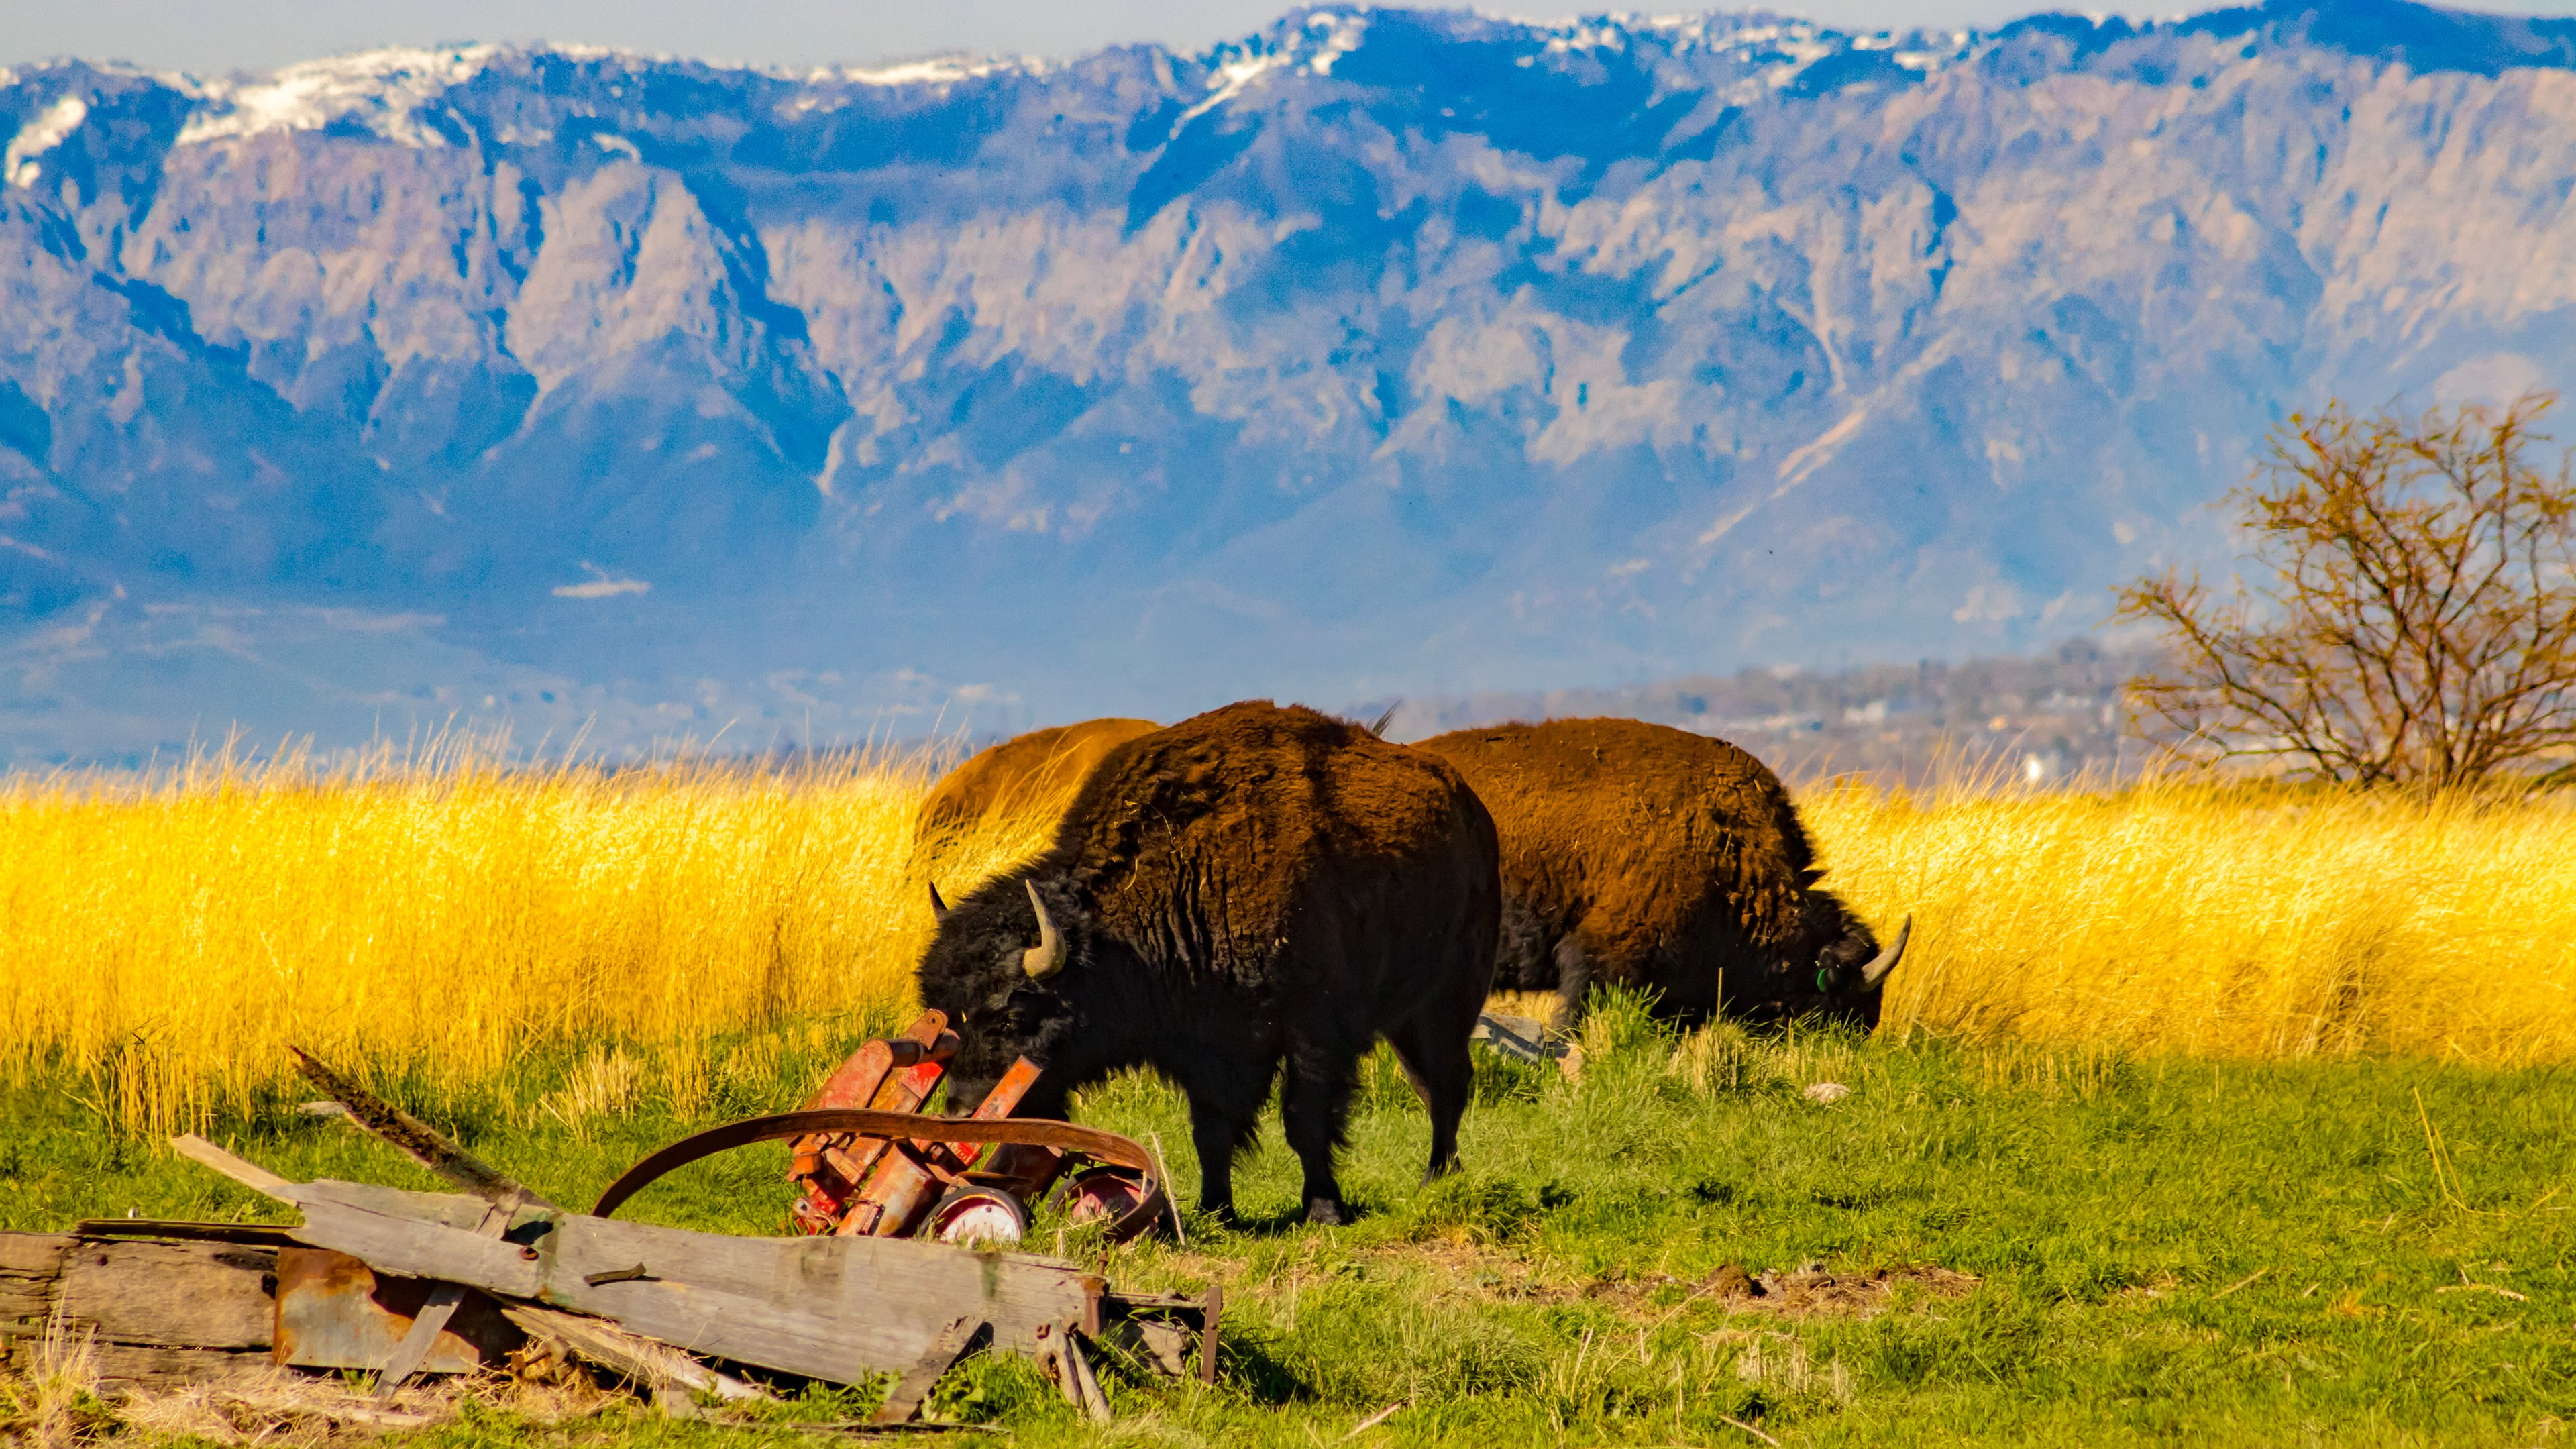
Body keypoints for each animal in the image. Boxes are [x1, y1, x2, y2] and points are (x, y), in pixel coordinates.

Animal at [916, 701, 1500, 1225]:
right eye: (949, 1014)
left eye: (1015, 1015)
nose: (962, 1111)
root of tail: (1472, 808)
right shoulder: (1205, 1047)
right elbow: (1211, 1131)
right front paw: (1217, 1210)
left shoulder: (1314, 1032)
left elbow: (1304, 1119)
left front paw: (1325, 1210)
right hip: (1407, 1019)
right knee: (1432, 1085)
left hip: (1448, 1001)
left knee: (1447, 1084)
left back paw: (1436, 1179)